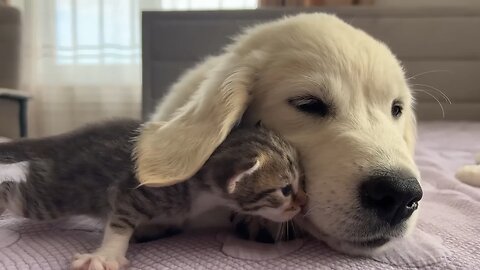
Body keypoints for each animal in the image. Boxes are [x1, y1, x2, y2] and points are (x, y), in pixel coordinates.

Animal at [0, 119, 306, 270]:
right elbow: (120, 221)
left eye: (301, 182)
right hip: (55, 196)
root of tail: (65, 140)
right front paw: (107, 255)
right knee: (14, 191)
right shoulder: (136, 190)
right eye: (285, 190)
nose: (304, 204)